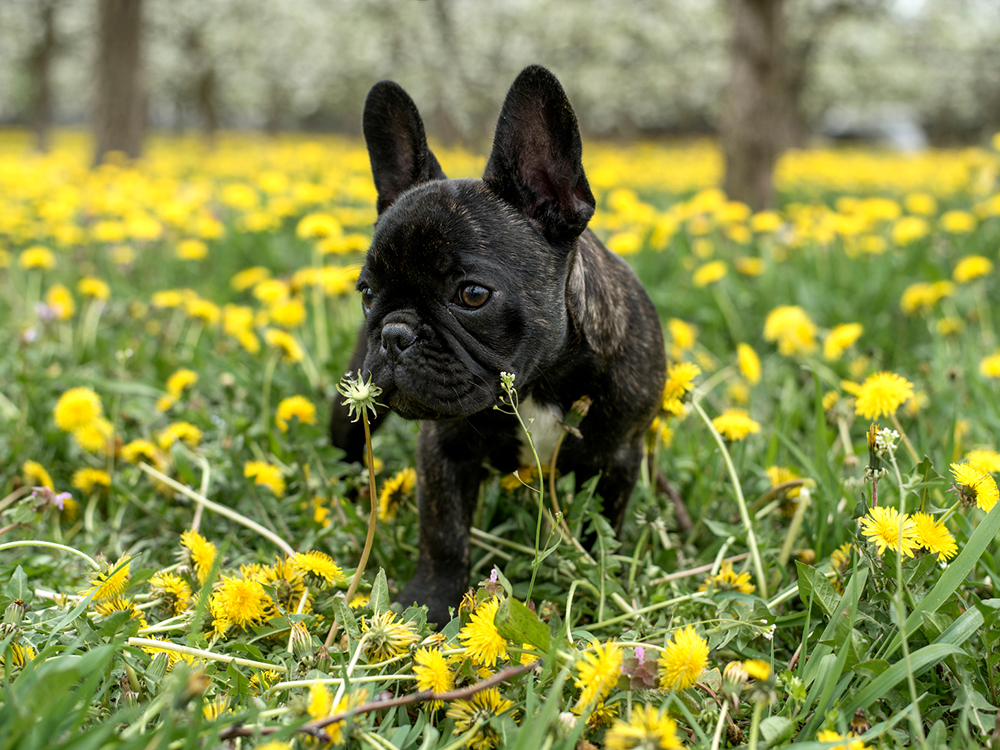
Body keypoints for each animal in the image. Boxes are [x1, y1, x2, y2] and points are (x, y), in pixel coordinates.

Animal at [332, 66, 668, 628]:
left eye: (472, 295)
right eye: (367, 293)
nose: (394, 333)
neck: (539, 380)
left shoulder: (618, 455)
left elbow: (602, 526)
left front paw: (596, 583)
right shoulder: (442, 450)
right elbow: (443, 534)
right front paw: (428, 602)